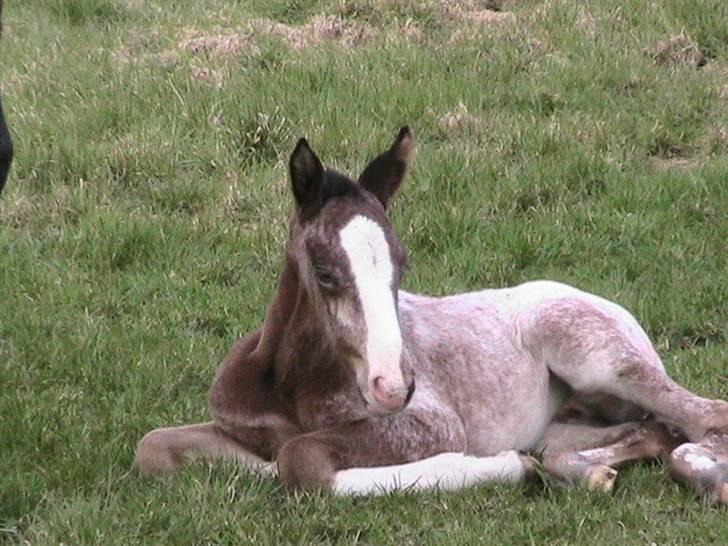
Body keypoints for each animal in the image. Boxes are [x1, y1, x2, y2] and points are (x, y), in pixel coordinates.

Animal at [138, 127, 728, 502]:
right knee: (648, 432)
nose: (394, 386)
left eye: (403, 263)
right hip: (569, 424)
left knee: (704, 417)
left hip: (598, 361)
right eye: (324, 271)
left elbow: (300, 459)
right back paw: (587, 475)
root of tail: (613, 308)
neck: (291, 386)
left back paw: (705, 478)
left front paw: (501, 467)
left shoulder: (432, 424)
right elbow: (154, 448)